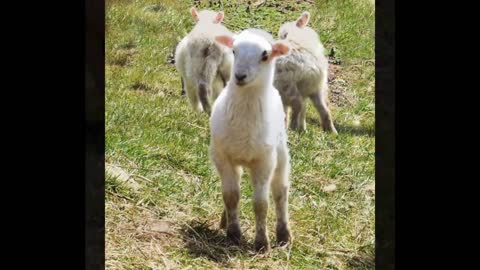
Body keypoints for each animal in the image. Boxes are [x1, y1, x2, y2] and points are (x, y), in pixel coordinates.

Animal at [211, 30, 292, 253]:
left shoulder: (264, 162)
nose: (239, 76)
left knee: (280, 191)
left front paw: (261, 243)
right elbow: (230, 195)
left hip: (280, 154)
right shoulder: (222, 157)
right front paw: (233, 233)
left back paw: (284, 234)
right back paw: (224, 220)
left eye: (265, 55)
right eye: (233, 50)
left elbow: (261, 204)